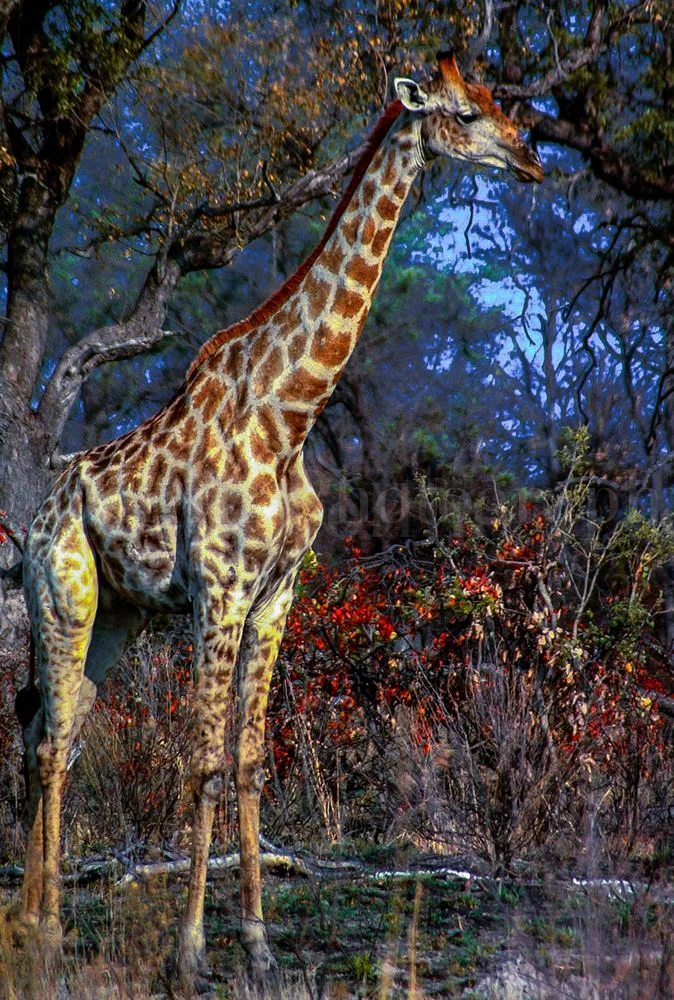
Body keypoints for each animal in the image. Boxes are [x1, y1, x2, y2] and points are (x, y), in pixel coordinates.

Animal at [17, 51, 542, 984]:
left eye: (495, 101)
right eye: (465, 114)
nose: (531, 159)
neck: (289, 411)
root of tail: (41, 511)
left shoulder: (275, 595)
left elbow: (254, 763)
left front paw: (259, 945)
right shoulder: (218, 589)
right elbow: (202, 766)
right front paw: (190, 954)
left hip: (116, 614)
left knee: (62, 729)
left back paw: (37, 921)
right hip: (62, 592)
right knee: (47, 742)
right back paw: (41, 932)